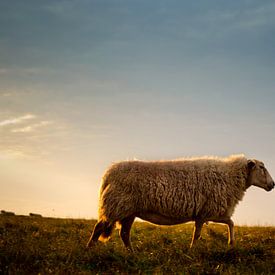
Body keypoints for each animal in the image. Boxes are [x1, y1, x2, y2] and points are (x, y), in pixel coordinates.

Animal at [87, 155, 275, 252]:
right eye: (261, 167)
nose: (273, 185)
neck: (231, 177)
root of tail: (109, 172)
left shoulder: (207, 213)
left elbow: (229, 223)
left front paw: (230, 243)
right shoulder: (208, 211)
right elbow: (200, 234)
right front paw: (194, 249)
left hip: (128, 211)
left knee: (124, 234)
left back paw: (132, 254)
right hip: (117, 205)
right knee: (99, 227)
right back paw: (89, 249)